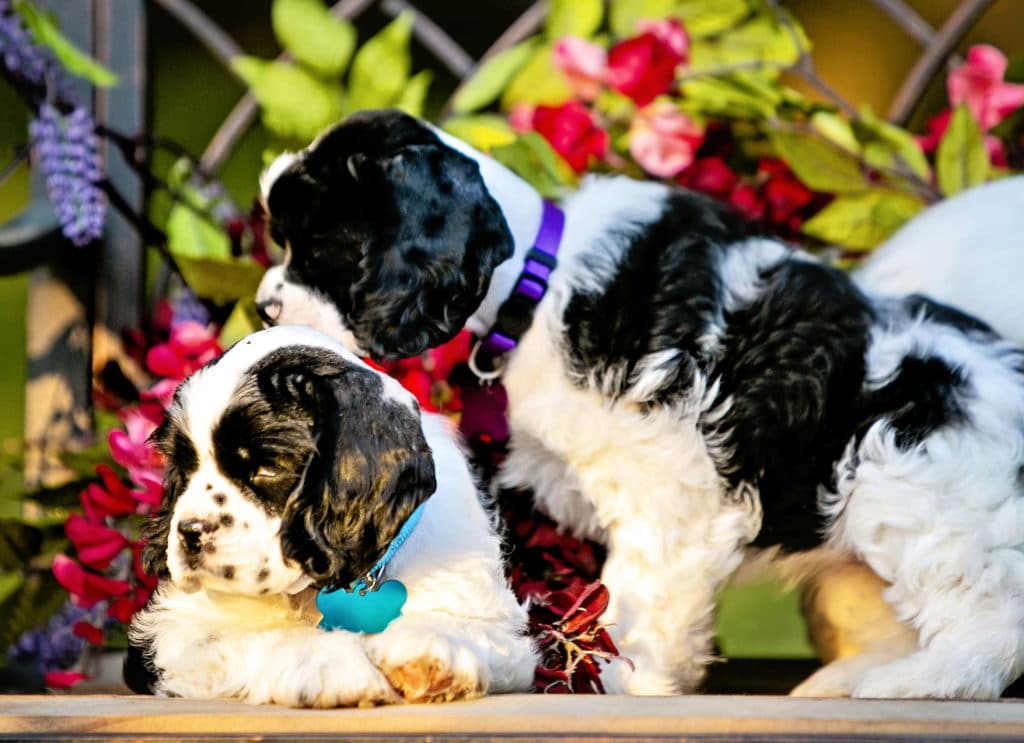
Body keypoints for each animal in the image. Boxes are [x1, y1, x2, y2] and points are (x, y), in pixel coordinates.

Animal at [125, 327, 536, 708]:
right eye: (184, 468)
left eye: (268, 468)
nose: (191, 533)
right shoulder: (172, 634)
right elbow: (260, 635)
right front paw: (328, 664)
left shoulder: (500, 626)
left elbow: (471, 629)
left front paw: (433, 650)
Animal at [251, 108, 1024, 700]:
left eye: (317, 248)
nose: (263, 308)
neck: (539, 280)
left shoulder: (669, 488)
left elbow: (641, 598)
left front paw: (622, 678)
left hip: (911, 482)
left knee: (990, 617)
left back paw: (918, 681)